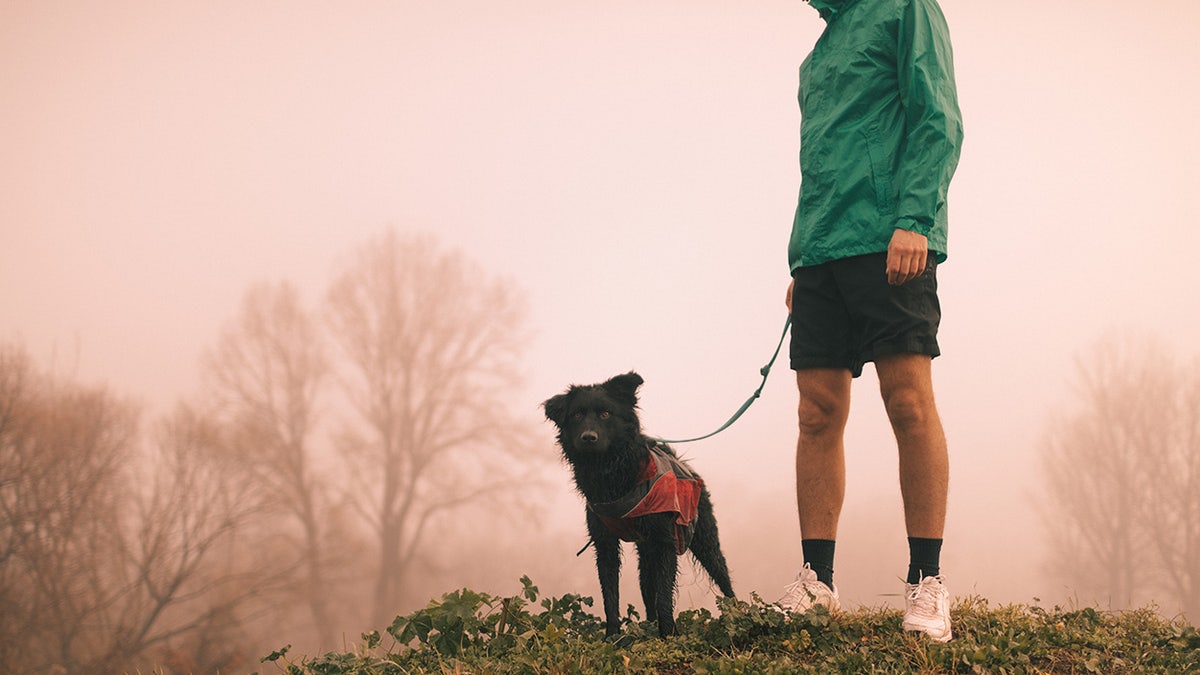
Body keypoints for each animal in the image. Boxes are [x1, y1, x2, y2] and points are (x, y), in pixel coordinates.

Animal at [544, 369, 729, 634]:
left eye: (605, 414)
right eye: (577, 414)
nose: (588, 437)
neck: (611, 472)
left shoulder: (665, 541)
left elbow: (664, 597)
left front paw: (669, 635)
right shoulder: (605, 543)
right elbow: (610, 595)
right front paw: (612, 635)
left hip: (705, 540)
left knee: (723, 578)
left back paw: (739, 613)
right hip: (646, 554)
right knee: (648, 591)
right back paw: (649, 627)